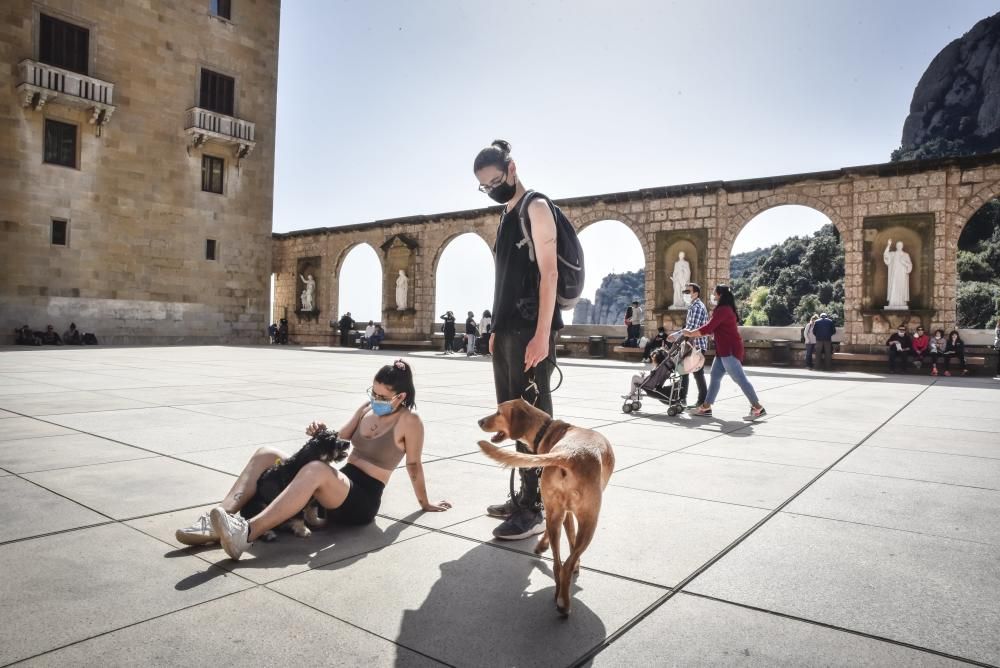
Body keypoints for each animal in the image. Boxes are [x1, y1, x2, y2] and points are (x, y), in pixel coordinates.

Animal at [478, 400, 612, 612]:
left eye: (498, 412)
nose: (479, 421)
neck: (545, 430)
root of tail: (568, 454)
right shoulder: (566, 513)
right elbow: (572, 544)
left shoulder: (560, 512)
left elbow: (567, 537)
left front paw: (544, 546)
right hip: (590, 521)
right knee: (565, 565)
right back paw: (564, 602)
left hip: (560, 514)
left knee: (558, 565)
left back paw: (559, 595)